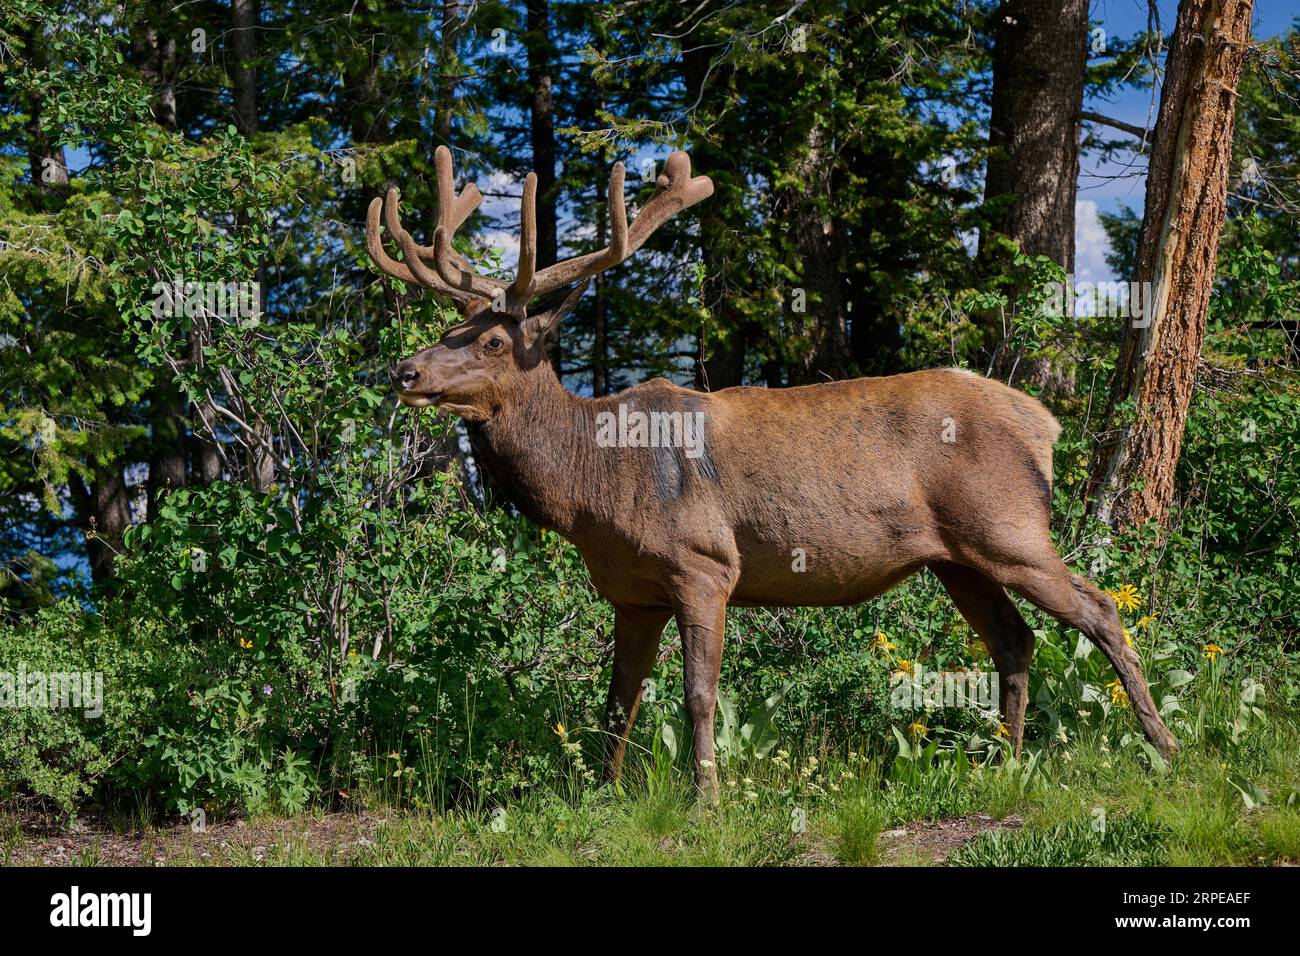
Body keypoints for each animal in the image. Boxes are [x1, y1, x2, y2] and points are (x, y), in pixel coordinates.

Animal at [366, 146, 1179, 799]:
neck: (590, 487)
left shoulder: (703, 563)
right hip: (957, 557)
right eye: (450, 328)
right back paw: (1006, 765)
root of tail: (1043, 424)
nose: (405, 370)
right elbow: (617, 700)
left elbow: (698, 694)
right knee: (1015, 640)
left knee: (1101, 610)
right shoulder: (632, 593)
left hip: (1009, 526)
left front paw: (706, 796)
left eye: (494, 342)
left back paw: (1165, 747)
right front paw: (600, 790)